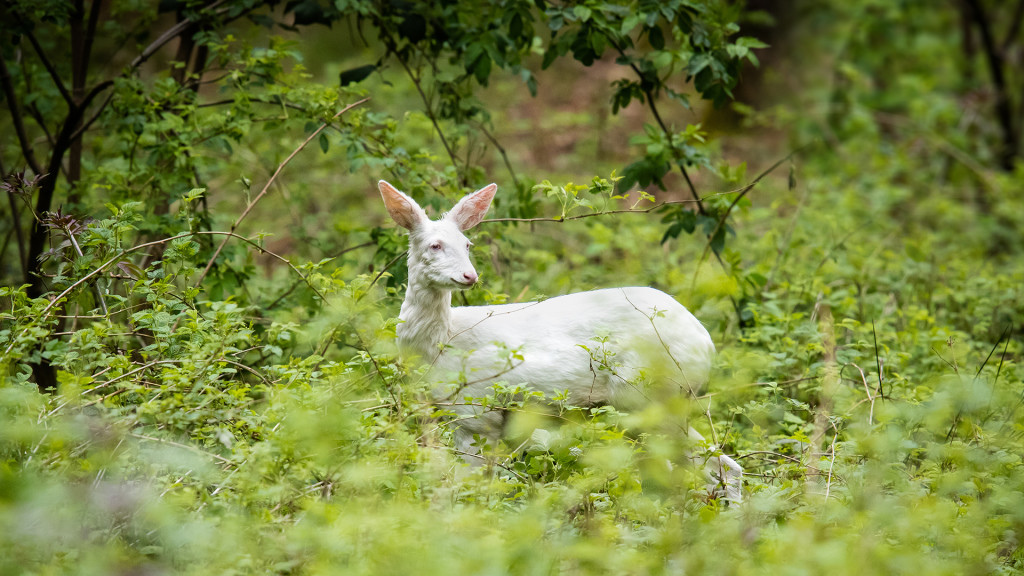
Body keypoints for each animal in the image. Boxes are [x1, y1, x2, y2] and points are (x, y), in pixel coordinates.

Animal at [380, 178, 741, 498]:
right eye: (434, 245)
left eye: (467, 245)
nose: (470, 276)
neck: (441, 343)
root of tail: (706, 342)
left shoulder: (477, 411)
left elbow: (470, 482)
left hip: (652, 396)